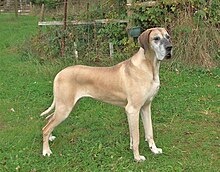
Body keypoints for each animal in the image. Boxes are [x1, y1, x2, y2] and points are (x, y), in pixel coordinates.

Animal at [40, 27, 172, 161]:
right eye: (156, 38)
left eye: (168, 37)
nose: (170, 48)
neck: (149, 67)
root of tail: (59, 74)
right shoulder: (133, 109)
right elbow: (136, 137)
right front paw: (137, 157)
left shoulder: (145, 107)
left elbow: (148, 132)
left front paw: (154, 150)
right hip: (64, 108)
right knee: (45, 128)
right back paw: (46, 150)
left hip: (65, 105)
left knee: (49, 119)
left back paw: (50, 138)